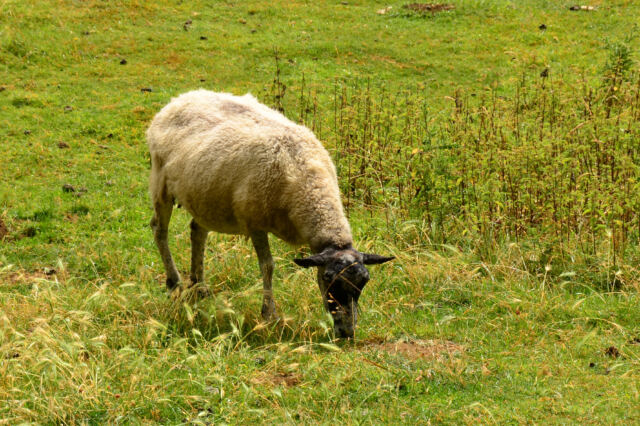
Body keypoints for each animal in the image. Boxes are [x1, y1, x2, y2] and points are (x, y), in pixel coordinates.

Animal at [147, 90, 393, 338]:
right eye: (327, 278)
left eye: (364, 281)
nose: (347, 332)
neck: (307, 182)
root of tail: (182, 98)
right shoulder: (254, 222)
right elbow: (267, 265)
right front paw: (269, 315)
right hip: (161, 182)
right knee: (160, 230)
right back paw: (174, 283)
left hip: (204, 196)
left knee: (197, 232)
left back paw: (199, 285)